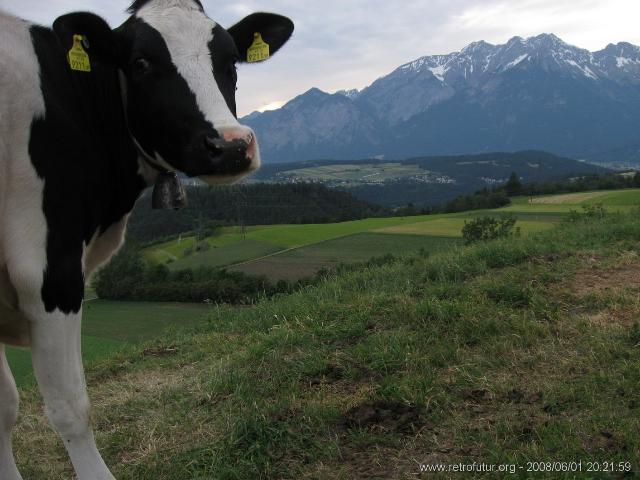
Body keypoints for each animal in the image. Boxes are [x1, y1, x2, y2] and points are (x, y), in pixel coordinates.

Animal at [0, 0, 294, 476]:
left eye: (231, 60)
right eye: (140, 63)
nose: (231, 146)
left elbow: (5, 406)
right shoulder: (48, 271)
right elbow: (69, 407)